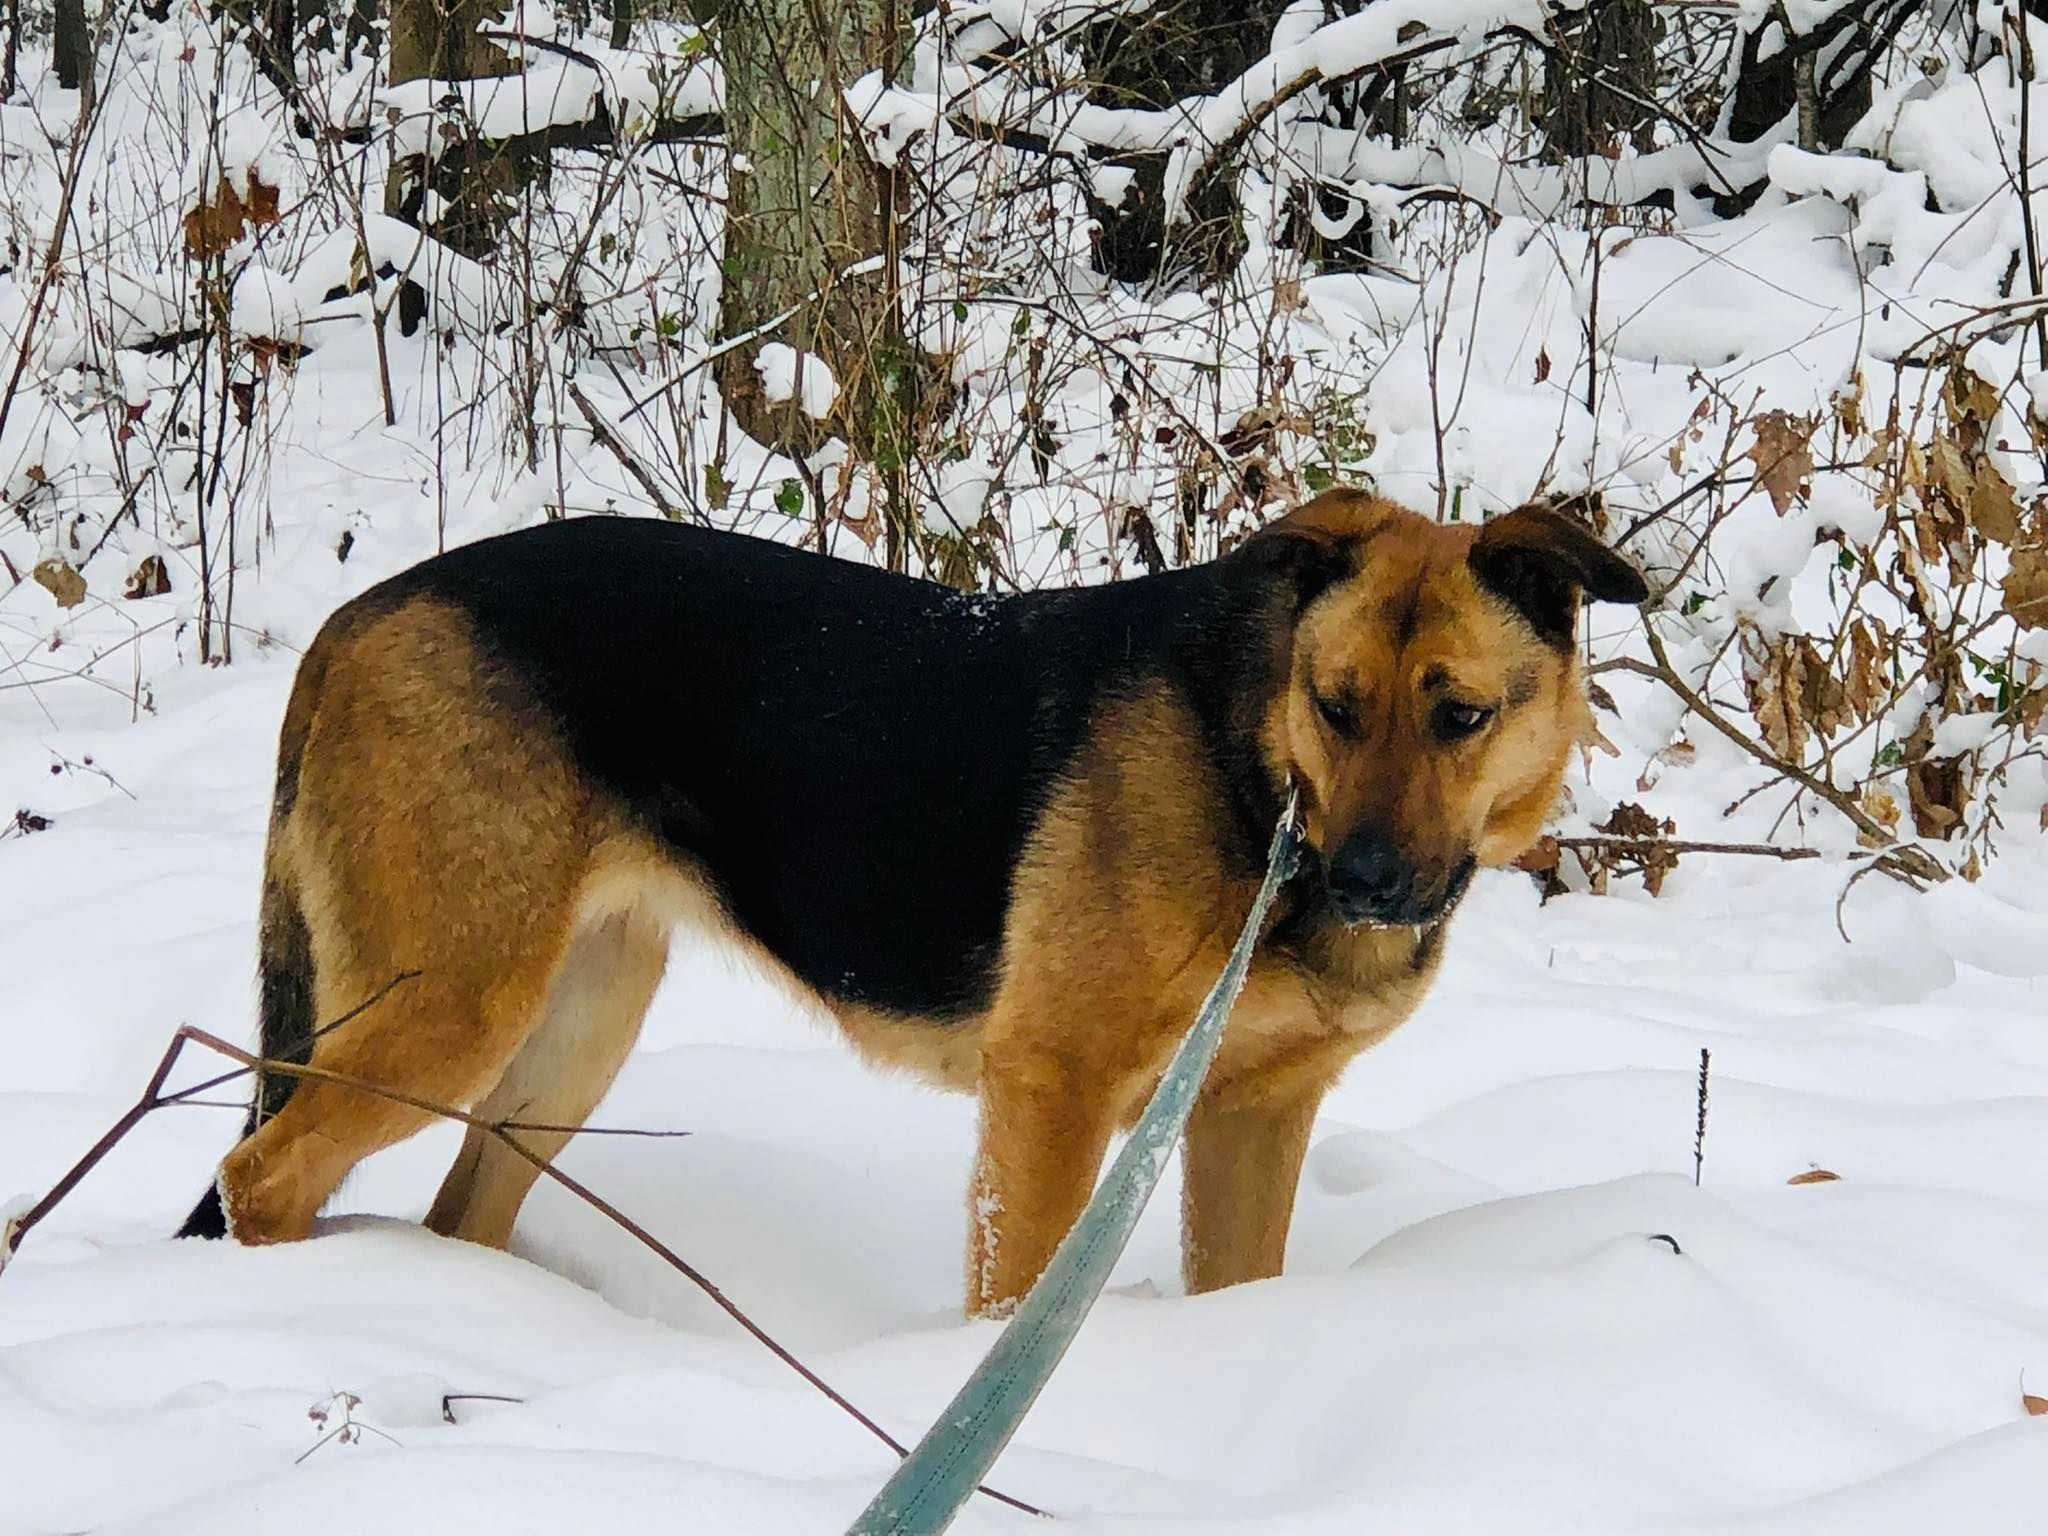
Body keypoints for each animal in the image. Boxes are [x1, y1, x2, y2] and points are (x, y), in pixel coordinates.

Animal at [176, 487, 1646, 1318]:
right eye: (1333, 706)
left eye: (1459, 716)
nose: (1364, 886)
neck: (1259, 771)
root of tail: (357, 617)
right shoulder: (1049, 1092)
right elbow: (1014, 1311)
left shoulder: (1250, 1117)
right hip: (452, 1010)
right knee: (258, 1172)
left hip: (572, 1026)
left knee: (450, 1201)